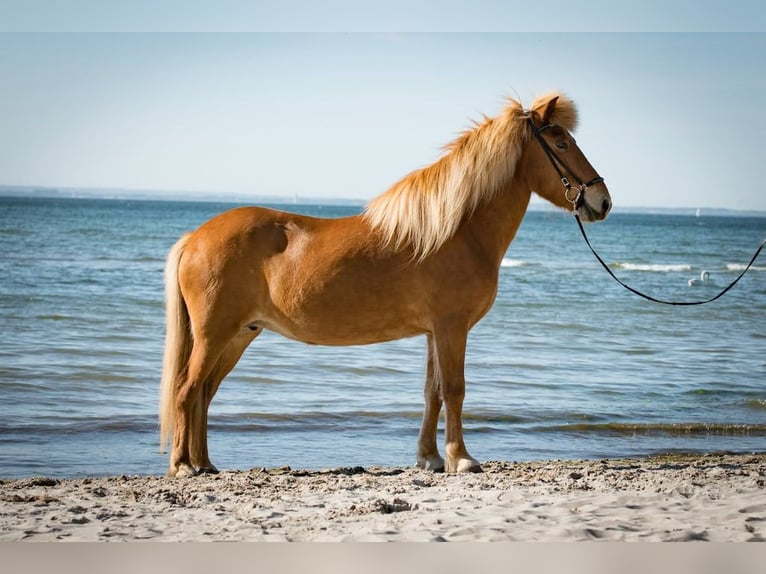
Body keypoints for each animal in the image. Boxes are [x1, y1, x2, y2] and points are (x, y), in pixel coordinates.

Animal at [159, 92, 611, 477]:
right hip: (215, 334)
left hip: (239, 335)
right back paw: (183, 466)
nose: (603, 201)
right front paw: (462, 459)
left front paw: (430, 458)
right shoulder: (452, 328)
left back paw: (205, 463)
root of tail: (195, 238)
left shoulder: (434, 332)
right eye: (560, 143)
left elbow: (433, 393)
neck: (456, 231)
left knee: (204, 393)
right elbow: (455, 389)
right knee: (186, 389)